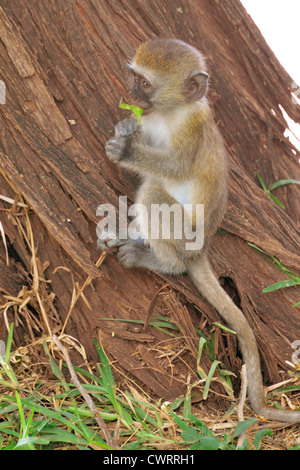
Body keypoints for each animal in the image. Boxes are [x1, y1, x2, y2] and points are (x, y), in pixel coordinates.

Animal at [103, 38, 300, 424]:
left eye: (144, 84)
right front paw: (126, 129)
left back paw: (164, 263)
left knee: (153, 194)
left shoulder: (190, 129)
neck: (171, 112)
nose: (131, 93)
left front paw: (127, 148)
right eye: (134, 78)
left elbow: (176, 167)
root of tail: (202, 248)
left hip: (185, 235)